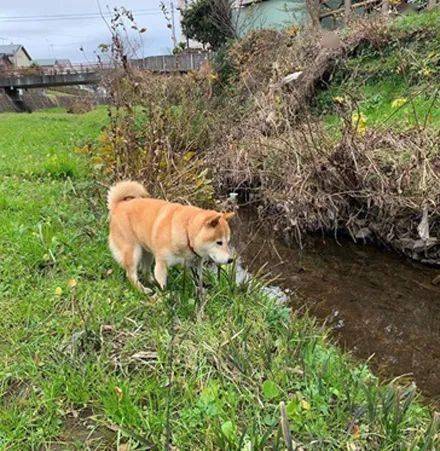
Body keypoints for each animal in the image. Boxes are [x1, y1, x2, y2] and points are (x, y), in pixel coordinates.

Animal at [107, 182, 235, 294]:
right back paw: (143, 290)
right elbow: (163, 285)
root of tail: (119, 205)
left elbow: (198, 282)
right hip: (133, 252)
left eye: (228, 242)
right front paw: (165, 298)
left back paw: (152, 282)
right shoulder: (162, 264)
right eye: (219, 242)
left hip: (148, 253)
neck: (187, 231)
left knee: (145, 270)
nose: (231, 260)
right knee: (131, 275)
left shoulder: (195, 265)